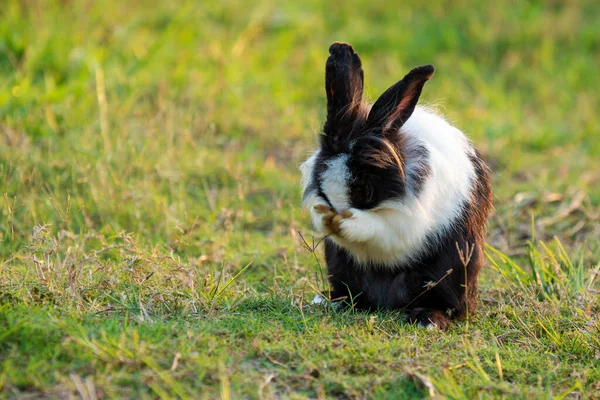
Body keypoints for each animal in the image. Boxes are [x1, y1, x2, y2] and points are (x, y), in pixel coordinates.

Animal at [300, 42, 492, 330]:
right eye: (322, 185)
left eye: (364, 189)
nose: (337, 211)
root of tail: (388, 302)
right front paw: (325, 218)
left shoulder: (406, 221)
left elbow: (380, 227)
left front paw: (346, 222)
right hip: (341, 269)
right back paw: (331, 301)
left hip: (447, 273)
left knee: (448, 306)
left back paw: (427, 319)